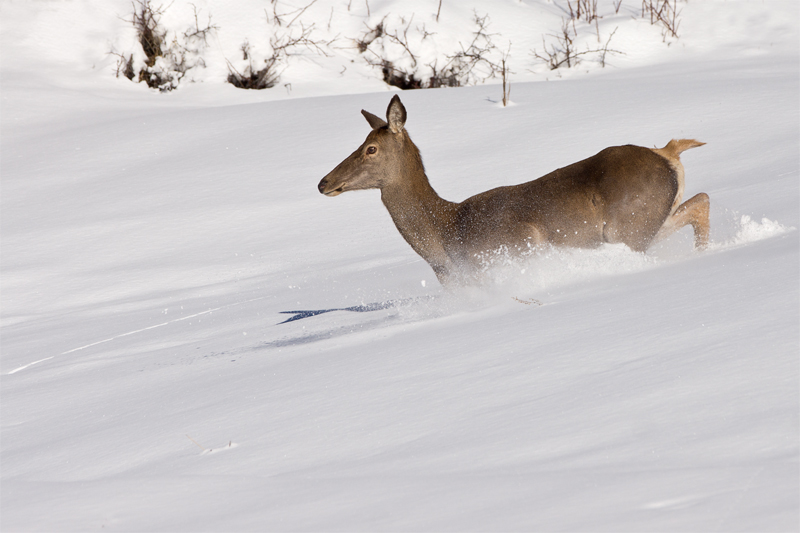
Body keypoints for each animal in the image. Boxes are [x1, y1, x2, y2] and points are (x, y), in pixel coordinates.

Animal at [316, 95, 708, 286]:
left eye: (371, 149)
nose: (323, 182)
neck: (447, 238)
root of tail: (668, 153)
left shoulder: (513, 253)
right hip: (650, 221)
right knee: (700, 201)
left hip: (630, 227)